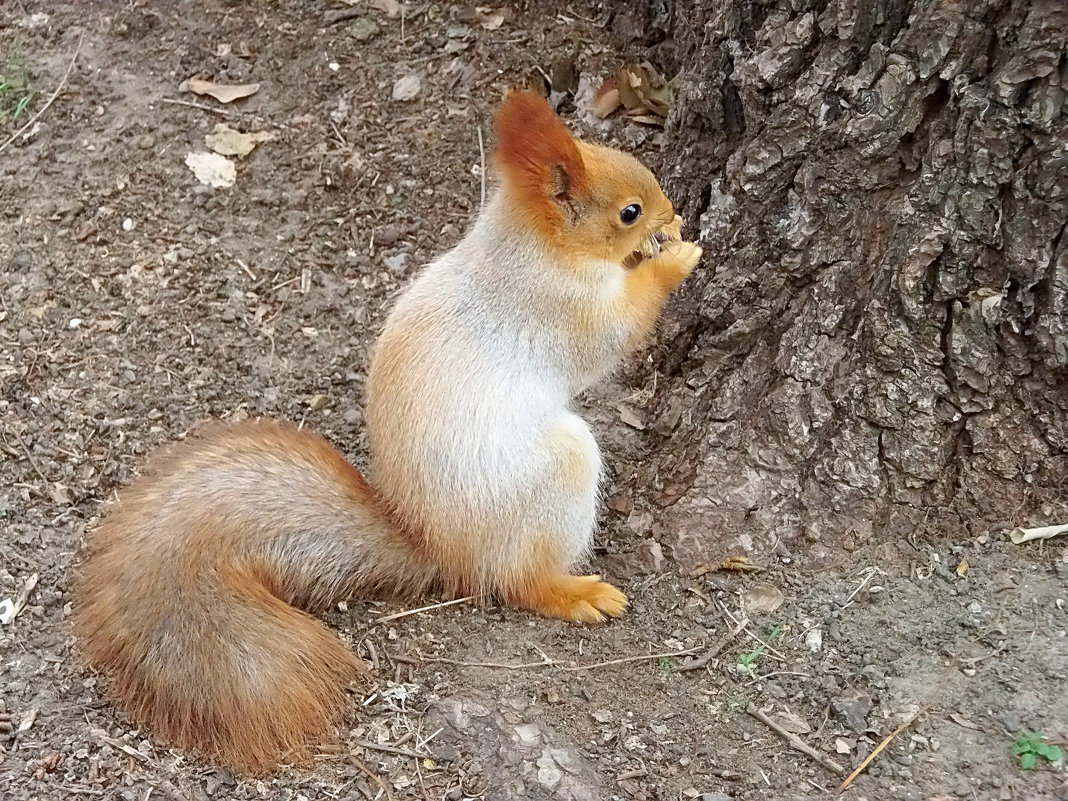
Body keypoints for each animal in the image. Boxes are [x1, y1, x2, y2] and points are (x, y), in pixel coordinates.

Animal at [71, 90, 704, 773]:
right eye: (628, 212)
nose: (673, 214)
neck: (530, 249)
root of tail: (434, 544)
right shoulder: (560, 311)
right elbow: (614, 335)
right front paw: (675, 260)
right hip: (554, 478)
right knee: (516, 581)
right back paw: (573, 592)